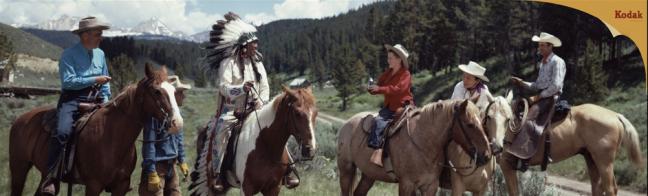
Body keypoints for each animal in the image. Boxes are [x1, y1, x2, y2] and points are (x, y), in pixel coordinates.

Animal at [8, 64, 181, 196]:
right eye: (157, 91)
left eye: (174, 92)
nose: (177, 123)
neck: (113, 138)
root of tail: (20, 119)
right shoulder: (93, 185)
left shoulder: (121, 186)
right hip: (19, 168)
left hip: (44, 172)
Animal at [189, 86, 318, 196]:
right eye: (297, 113)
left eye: (316, 114)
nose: (310, 150)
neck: (266, 146)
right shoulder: (247, 188)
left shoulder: (273, 188)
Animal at [336, 100, 488, 195]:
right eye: (470, 124)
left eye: (482, 122)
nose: (486, 154)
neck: (423, 144)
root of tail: (348, 123)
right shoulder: (406, 184)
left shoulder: (430, 186)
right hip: (346, 168)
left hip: (369, 174)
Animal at [502, 100, 644, 195]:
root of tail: (616, 115)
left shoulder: (507, 165)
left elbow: (513, 192)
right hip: (591, 159)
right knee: (597, 187)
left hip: (604, 162)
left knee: (609, 188)